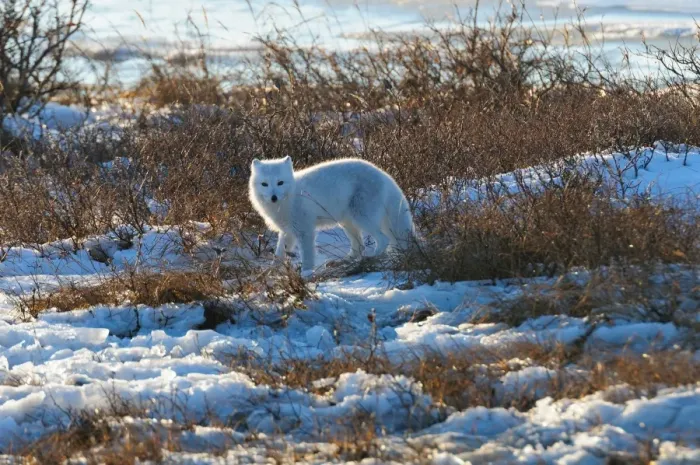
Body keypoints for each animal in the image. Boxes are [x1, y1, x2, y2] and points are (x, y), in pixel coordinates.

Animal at [249, 156, 415, 276]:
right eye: (264, 184)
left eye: (280, 182)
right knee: (359, 246)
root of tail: (384, 175)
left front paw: (306, 274)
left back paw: (370, 258)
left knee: (382, 239)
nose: (273, 197)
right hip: (347, 222)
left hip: (362, 217)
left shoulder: (305, 230)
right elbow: (279, 255)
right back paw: (344, 262)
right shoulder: (287, 231)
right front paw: (269, 273)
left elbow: (307, 256)